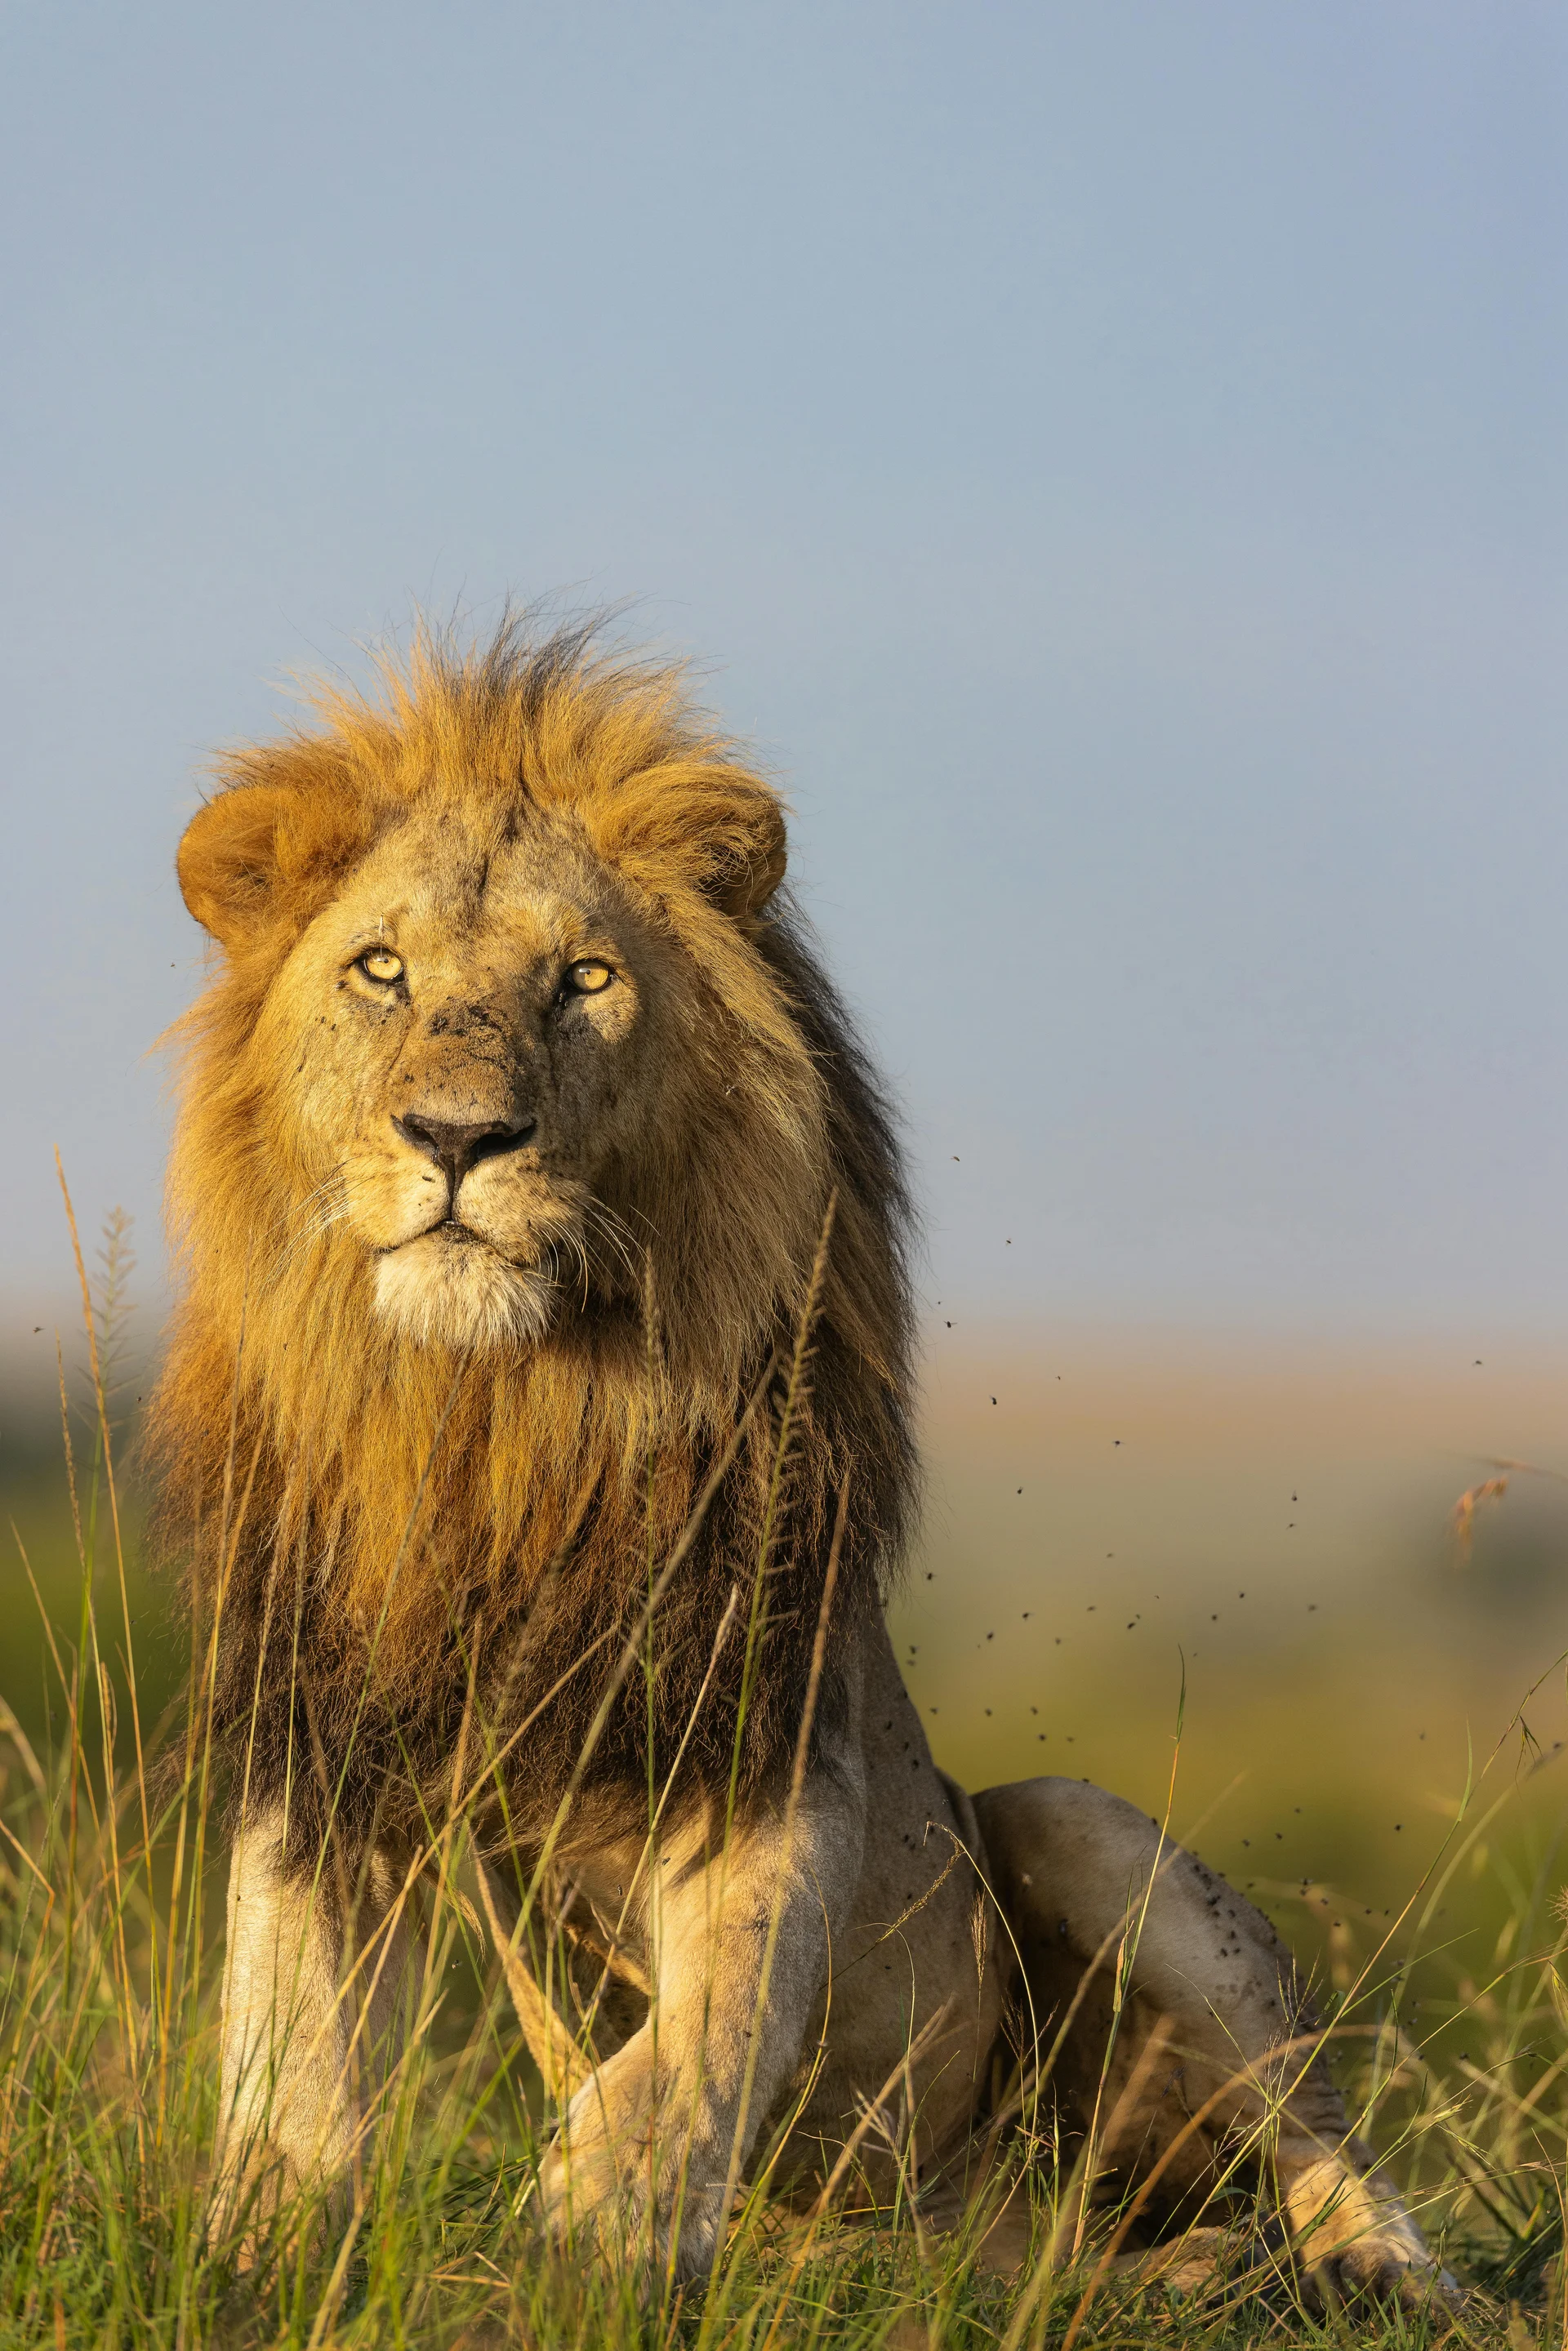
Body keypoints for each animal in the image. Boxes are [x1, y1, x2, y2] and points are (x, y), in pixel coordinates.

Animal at [150, 616, 1446, 2303]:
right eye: (383, 969)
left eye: (583, 979)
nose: (458, 1137)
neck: (501, 1419)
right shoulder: (320, 1729)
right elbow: (290, 2029)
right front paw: (253, 2246)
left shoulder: (770, 1727)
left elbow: (705, 2027)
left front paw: (608, 2220)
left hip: (1076, 1823)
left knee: (1339, 2155)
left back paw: (1380, 2278)